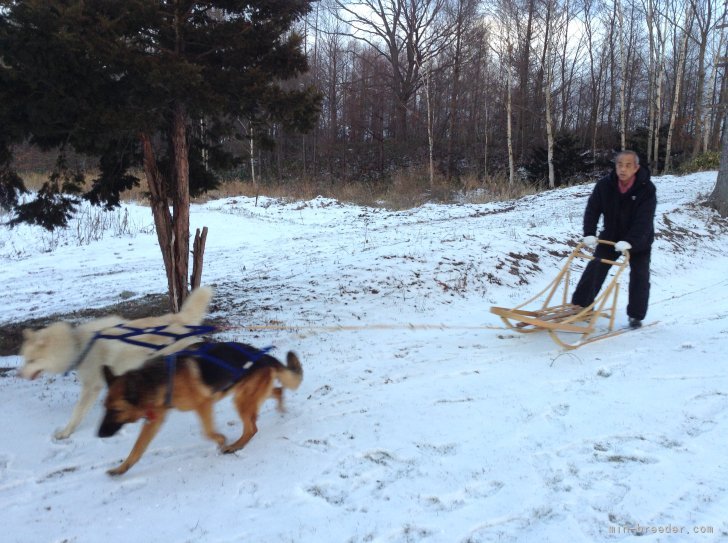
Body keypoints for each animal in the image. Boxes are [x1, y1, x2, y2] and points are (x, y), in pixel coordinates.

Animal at [18, 286, 215, 440]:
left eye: (31, 360)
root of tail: (178, 319)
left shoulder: (91, 387)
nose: (18, 374)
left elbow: (77, 413)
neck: (79, 345)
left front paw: (65, 432)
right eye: (24, 359)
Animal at [99, 344, 302, 476]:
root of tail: (263, 355)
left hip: (241, 400)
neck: (153, 381)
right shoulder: (154, 421)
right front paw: (121, 469)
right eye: (105, 408)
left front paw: (221, 440)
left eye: (115, 410)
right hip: (247, 394)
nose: (99, 434)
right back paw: (281, 408)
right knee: (278, 391)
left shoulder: (204, 404)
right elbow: (137, 449)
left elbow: (207, 432)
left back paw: (235, 446)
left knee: (252, 428)